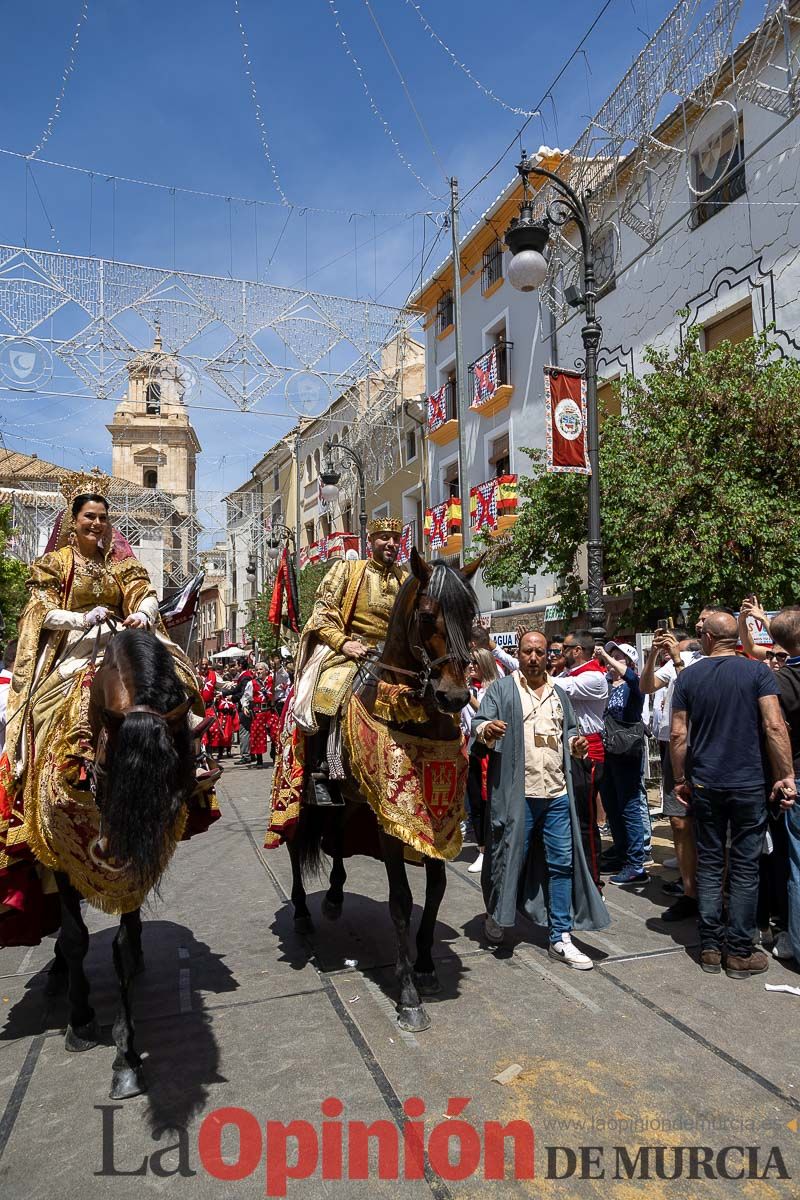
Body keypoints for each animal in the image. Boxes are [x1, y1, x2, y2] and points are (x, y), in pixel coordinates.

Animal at [47, 633, 199, 1099]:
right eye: (104, 762)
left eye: (172, 775)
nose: (113, 853)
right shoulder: (59, 856)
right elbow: (75, 937)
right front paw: (80, 1021)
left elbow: (120, 948)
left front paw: (126, 1056)